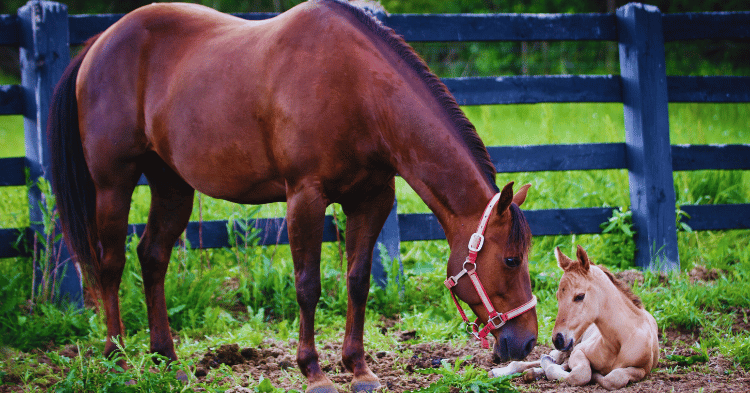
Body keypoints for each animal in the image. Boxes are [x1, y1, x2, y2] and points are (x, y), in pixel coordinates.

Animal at [48, 0, 540, 388]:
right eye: (510, 259)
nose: (528, 341)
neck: (357, 89)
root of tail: (100, 42)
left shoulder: (372, 199)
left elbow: (357, 281)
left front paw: (358, 369)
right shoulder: (305, 196)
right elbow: (308, 285)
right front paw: (314, 372)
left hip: (171, 183)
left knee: (152, 257)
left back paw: (167, 359)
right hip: (114, 183)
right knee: (111, 264)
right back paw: (116, 357)